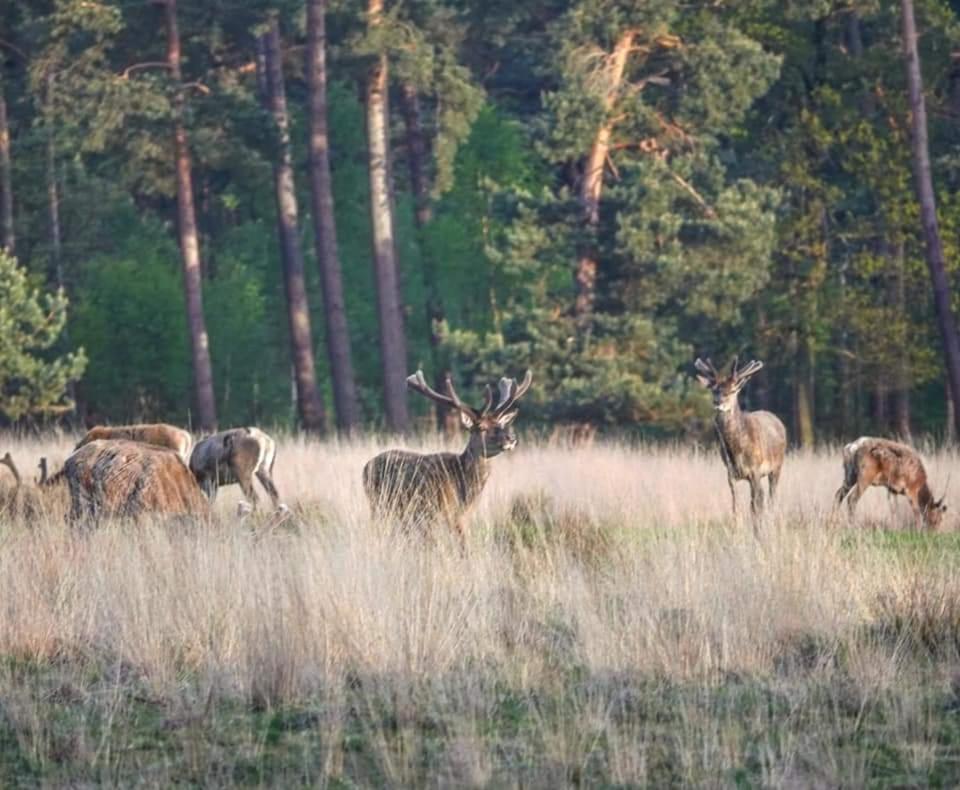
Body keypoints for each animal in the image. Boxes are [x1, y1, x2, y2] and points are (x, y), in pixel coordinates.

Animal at [366, 368, 536, 548]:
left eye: (501, 424)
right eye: (482, 428)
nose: (511, 438)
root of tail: (365, 467)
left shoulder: (463, 516)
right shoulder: (442, 513)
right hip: (380, 504)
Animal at [696, 358, 788, 520]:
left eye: (733, 391)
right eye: (714, 390)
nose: (718, 402)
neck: (737, 450)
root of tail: (778, 420)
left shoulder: (755, 470)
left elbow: (754, 506)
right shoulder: (730, 473)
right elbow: (736, 506)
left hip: (777, 466)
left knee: (771, 496)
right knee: (763, 496)